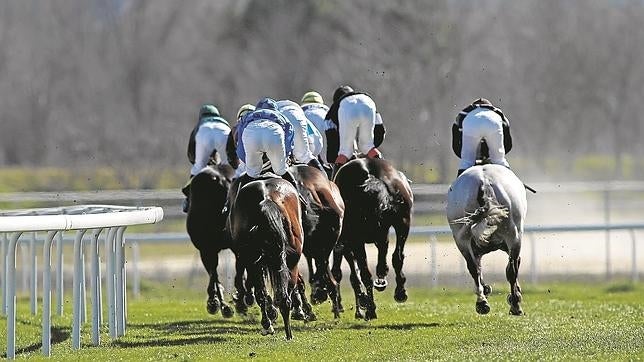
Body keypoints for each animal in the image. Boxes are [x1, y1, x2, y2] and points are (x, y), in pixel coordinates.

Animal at [185, 164, 238, 316]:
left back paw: (223, 305)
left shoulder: (205, 249)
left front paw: (214, 302)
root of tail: (221, 179)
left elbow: (213, 276)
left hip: (207, 248)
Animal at [226, 175, 306, 340]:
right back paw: (286, 331)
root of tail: (266, 198)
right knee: (284, 295)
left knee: (265, 294)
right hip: (291, 260)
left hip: (255, 261)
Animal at [332, 158, 412, 320]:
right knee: (397, 256)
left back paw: (370, 308)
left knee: (364, 273)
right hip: (403, 222)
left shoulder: (351, 241)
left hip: (357, 238)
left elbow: (356, 273)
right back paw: (399, 291)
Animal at [448, 164, 528, 314]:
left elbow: (479, 270)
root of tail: (484, 181)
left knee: (474, 269)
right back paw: (514, 305)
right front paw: (515, 295)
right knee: (511, 269)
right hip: (513, 235)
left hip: (461, 239)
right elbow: (512, 266)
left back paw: (482, 302)